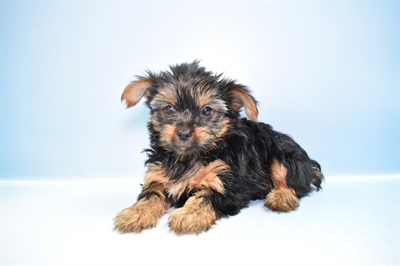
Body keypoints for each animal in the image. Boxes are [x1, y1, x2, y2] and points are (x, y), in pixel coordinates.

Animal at [114, 60, 324, 235]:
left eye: (207, 111)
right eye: (168, 109)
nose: (183, 132)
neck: (188, 158)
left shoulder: (227, 183)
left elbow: (206, 196)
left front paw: (190, 215)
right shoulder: (158, 175)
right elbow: (151, 194)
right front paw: (135, 213)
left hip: (282, 152)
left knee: (291, 180)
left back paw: (281, 196)